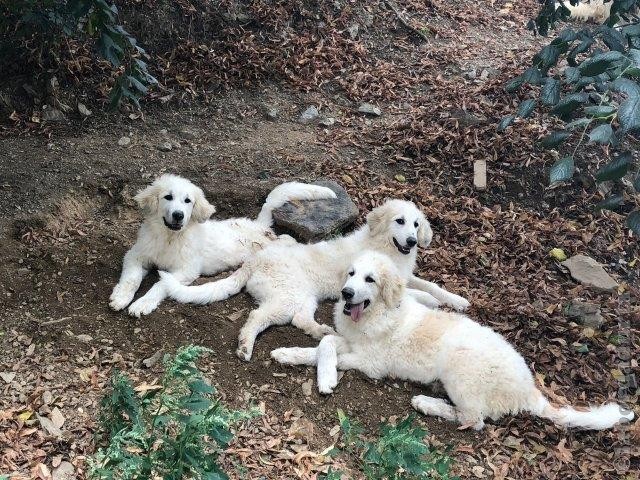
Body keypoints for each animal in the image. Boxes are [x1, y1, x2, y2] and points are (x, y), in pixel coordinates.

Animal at [109, 174, 336, 316]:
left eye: (187, 201)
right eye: (168, 197)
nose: (178, 215)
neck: (169, 238)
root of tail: (258, 225)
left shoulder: (186, 270)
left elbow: (160, 285)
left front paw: (142, 303)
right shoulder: (136, 255)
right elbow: (131, 278)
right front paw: (121, 297)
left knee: (287, 239)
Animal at [160, 199, 470, 360]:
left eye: (416, 224)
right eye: (400, 221)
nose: (412, 241)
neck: (387, 247)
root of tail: (254, 260)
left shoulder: (405, 275)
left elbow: (430, 284)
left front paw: (457, 300)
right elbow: (415, 293)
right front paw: (431, 301)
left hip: (303, 297)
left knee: (300, 320)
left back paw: (323, 331)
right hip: (286, 297)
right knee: (256, 317)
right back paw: (246, 346)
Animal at [272, 251, 636, 432]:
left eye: (370, 279)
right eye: (350, 274)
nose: (346, 294)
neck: (378, 312)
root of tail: (529, 390)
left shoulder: (372, 363)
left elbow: (328, 349)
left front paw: (327, 377)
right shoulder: (347, 340)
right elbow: (322, 345)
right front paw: (288, 354)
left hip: (461, 368)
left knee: (473, 421)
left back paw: (426, 403)